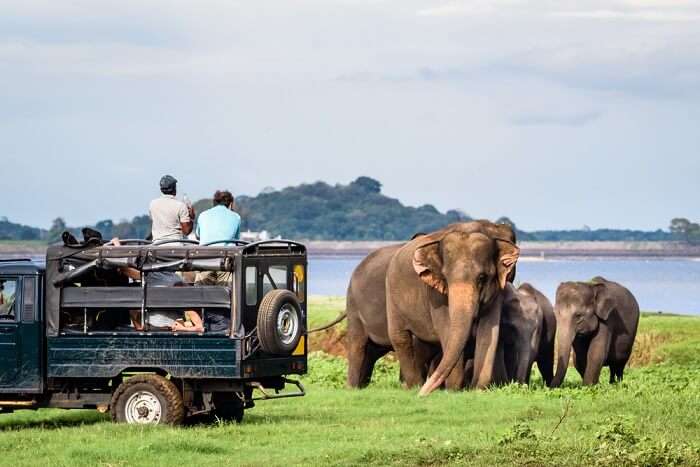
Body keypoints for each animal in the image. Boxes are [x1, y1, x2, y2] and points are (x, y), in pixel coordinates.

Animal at [382, 223, 520, 394]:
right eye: (445, 278)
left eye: (482, 277)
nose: (422, 395)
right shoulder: (435, 294)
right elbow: (447, 330)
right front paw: (453, 390)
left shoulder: (496, 291)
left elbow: (489, 332)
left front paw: (477, 390)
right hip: (391, 295)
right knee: (400, 337)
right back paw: (414, 387)